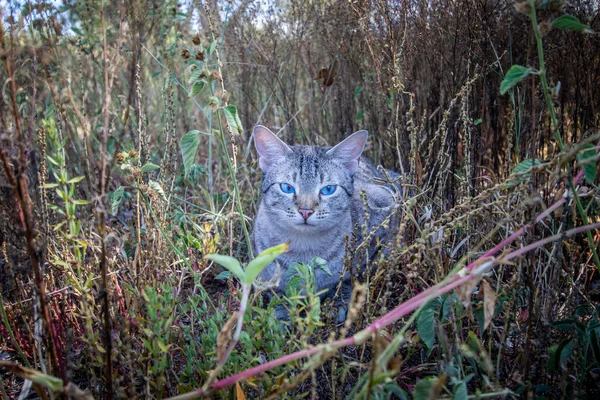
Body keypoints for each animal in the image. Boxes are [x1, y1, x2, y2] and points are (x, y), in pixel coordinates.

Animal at [251, 125, 400, 322]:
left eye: (328, 189)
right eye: (287, 188)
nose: (305, 211)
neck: (304, 249)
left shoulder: (385, 213)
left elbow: (351, 276)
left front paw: (338, 301)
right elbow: (278, 291)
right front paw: (284, 313)